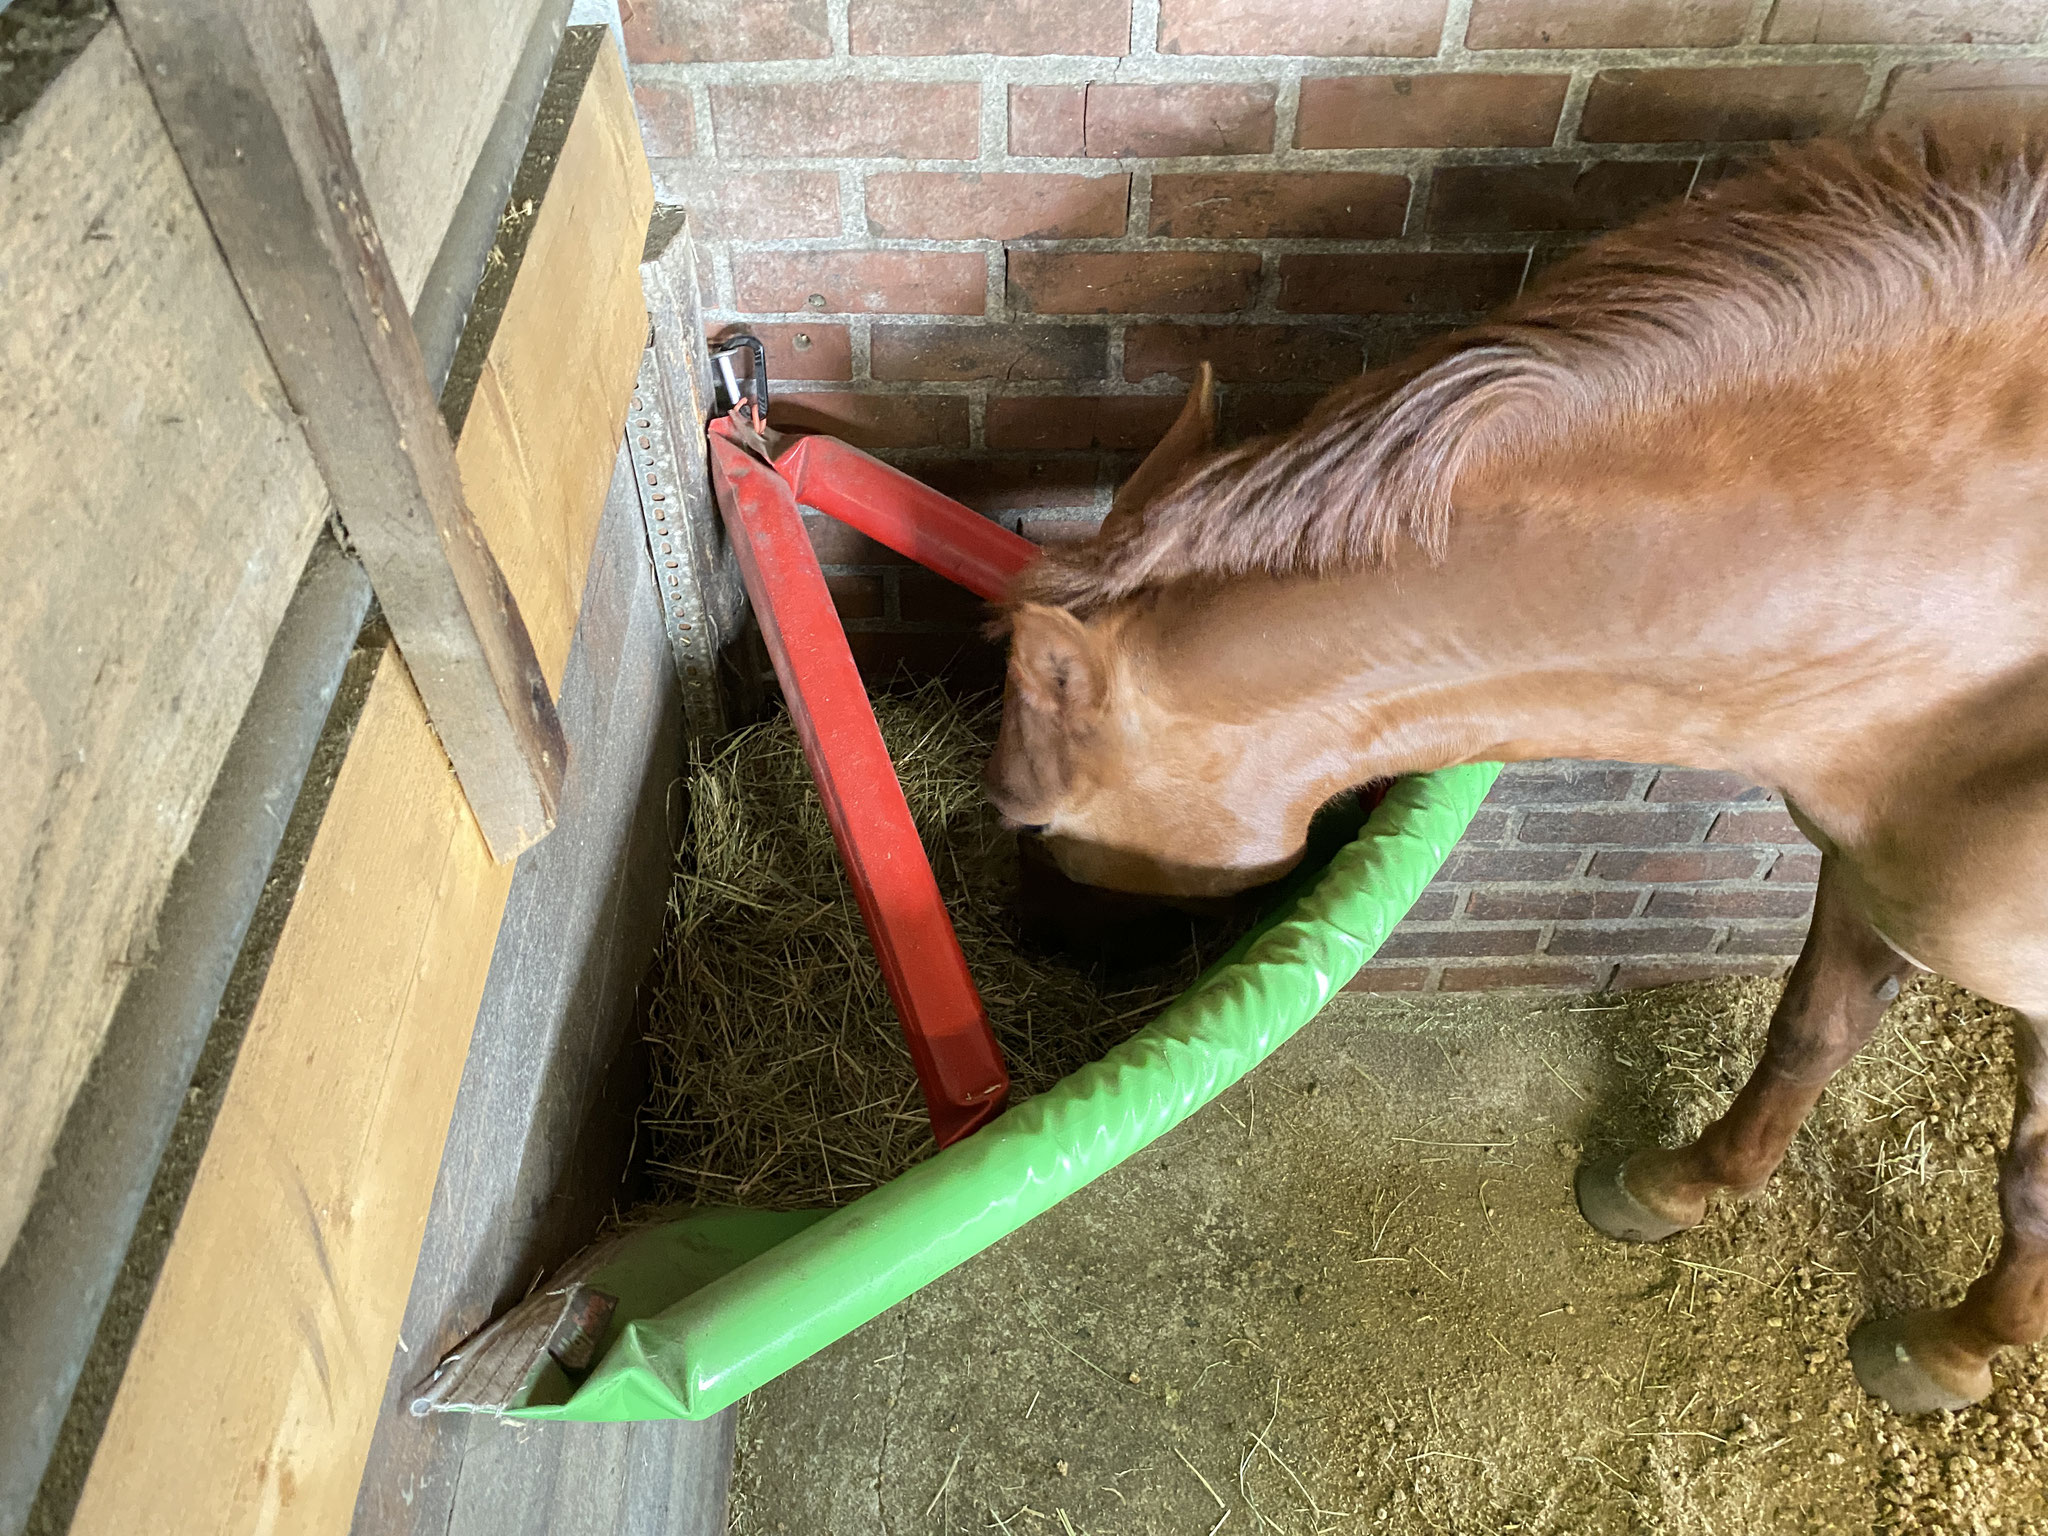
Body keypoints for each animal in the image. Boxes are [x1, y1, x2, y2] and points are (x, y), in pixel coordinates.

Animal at [983, 135, 2048, 1417]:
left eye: (1030, 822)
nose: (1020, 939)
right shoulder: (1865, 863)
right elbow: (1807, 1031)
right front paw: (1677, 1186)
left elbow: (2029, 1188)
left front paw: (1947, 1351)